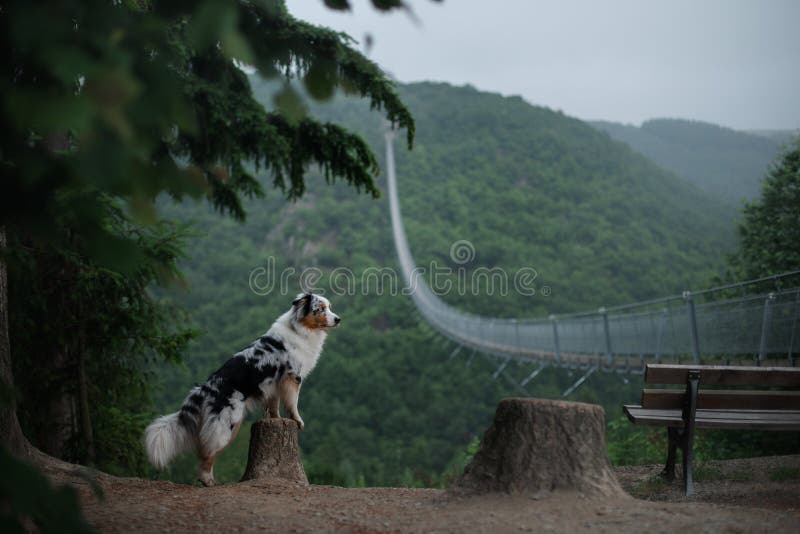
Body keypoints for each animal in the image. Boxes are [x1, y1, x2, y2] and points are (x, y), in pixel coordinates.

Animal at [145, 296, 340, 488]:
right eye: (320, 309)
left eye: (330, 307)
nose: (338, 319)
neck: (299, 329)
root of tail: (204, 389)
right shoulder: (292, 378)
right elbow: (293, 403)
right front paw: (298, 420)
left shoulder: (274, 385)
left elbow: (273, 406)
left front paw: (276, 418)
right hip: (226, 425)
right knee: (208, 452)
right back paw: (208, 480)